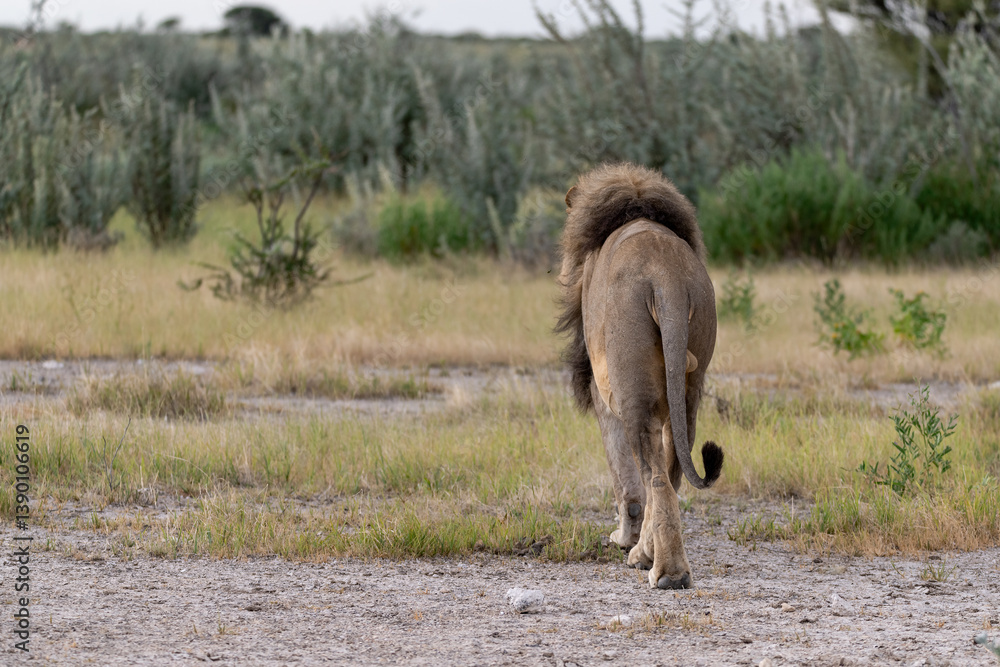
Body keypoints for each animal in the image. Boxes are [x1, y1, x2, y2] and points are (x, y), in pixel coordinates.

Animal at [556, 162, 723, 590]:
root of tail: (666, 277)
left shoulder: (602, 394)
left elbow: (623, 476)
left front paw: (623, 537)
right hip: (690, 385)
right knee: (673, 467)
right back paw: (651, 556)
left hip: (632, 388)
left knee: (653, 475)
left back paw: (663, 569)